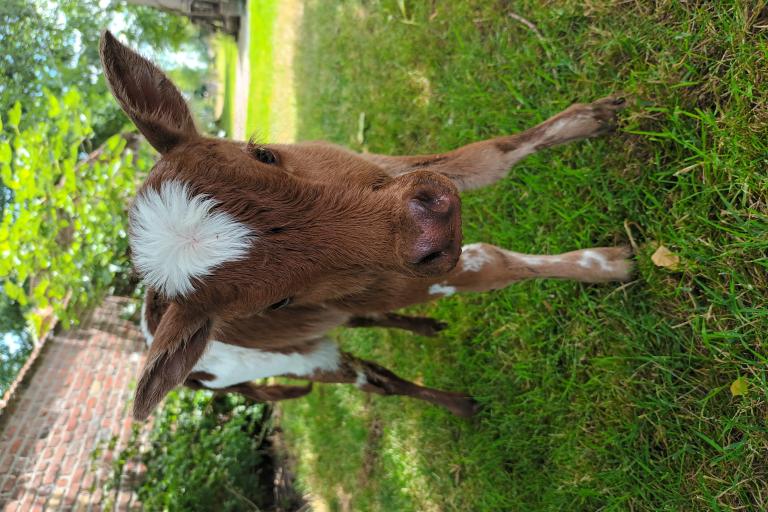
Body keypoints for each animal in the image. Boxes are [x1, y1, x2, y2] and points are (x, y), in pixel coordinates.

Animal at [99, 31, 632, 420]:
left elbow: (490, 156)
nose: (429, 228)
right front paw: (610, 264)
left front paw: (591, 118)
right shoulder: (416, 273)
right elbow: (497, 263)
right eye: (277, 301)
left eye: (264, 153)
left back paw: (426, 328)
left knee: (366, 320)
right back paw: (460, 405)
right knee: (376, 379)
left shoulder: (382, 169)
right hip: (302, 362)